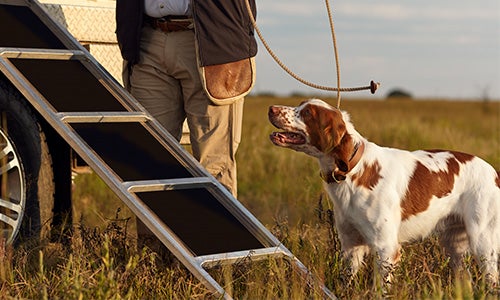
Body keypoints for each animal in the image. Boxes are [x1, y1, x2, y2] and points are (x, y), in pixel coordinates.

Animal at [270, 99, 500, 286]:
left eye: (307, 113)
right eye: (300, 105)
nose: (271, 109)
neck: (354, 170)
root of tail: (493, 172)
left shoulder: (386, 248)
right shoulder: (351, 246)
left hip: (483, 242)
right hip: (455, 245)